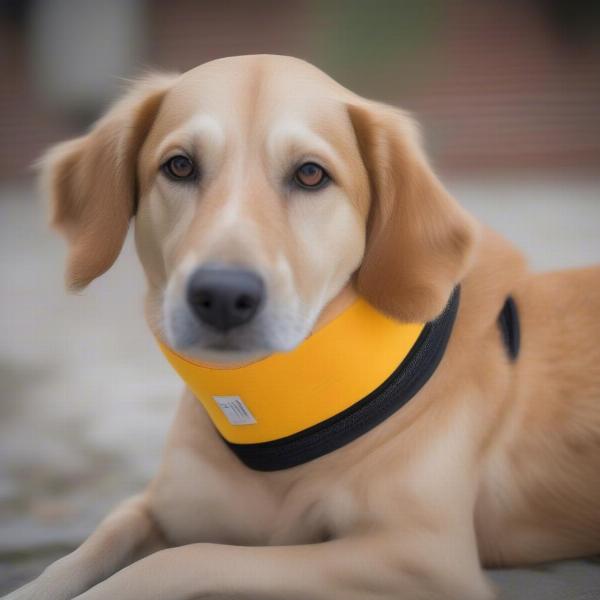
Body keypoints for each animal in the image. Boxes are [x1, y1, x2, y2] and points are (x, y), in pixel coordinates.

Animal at [4, 56, 600, 600]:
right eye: (179, 166)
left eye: (311, 174)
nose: (223, 296)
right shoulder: (159, 505)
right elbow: (84, 550)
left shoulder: (420, 556)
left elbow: (183, 558)